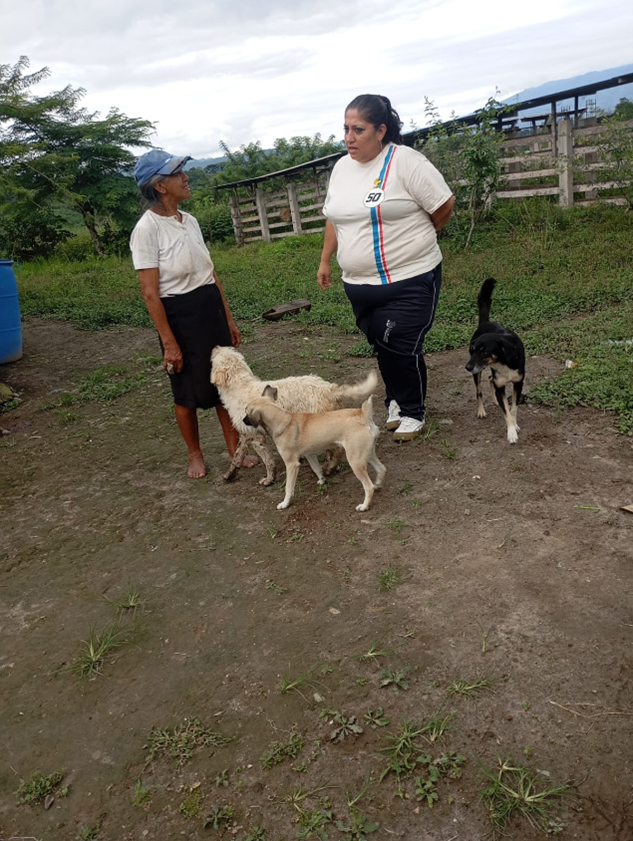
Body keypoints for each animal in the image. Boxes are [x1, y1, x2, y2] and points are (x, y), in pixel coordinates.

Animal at [211, 346, 378, 484]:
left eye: (215, 357)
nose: (215, 346)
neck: (239, 386)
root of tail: (330, 388)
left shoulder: (257, 438)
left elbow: (268, 461)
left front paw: (269, 479)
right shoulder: (246, 434)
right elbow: (237, 456)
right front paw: (229, 474)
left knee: (336, 451)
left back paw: (328, 468)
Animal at [243, 388, 386, 511]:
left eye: (246, 412)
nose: (243, 420)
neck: (284, 421)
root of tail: (363, 415)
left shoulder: (291, 464)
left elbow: (288, 488)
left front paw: (285, 503)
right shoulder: (310, 455)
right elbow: (316, 468)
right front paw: (322, 480)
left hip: (355, 461)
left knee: (368, 487)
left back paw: (364, 506)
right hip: (367, 454)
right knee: (382, 469)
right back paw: (378, 485)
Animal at [466, 278, 525, 444]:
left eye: (484, 352)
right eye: (472, 350)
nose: (467, 367)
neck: (503, 362)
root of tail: (484, 323)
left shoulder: (518, 383)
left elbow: (513, 408)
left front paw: (515, 425)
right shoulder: (500, 386)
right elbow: (506, 412)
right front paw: (511, 433)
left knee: (490, 379)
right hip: (477, 373)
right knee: (479, 391)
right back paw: (481, 410)